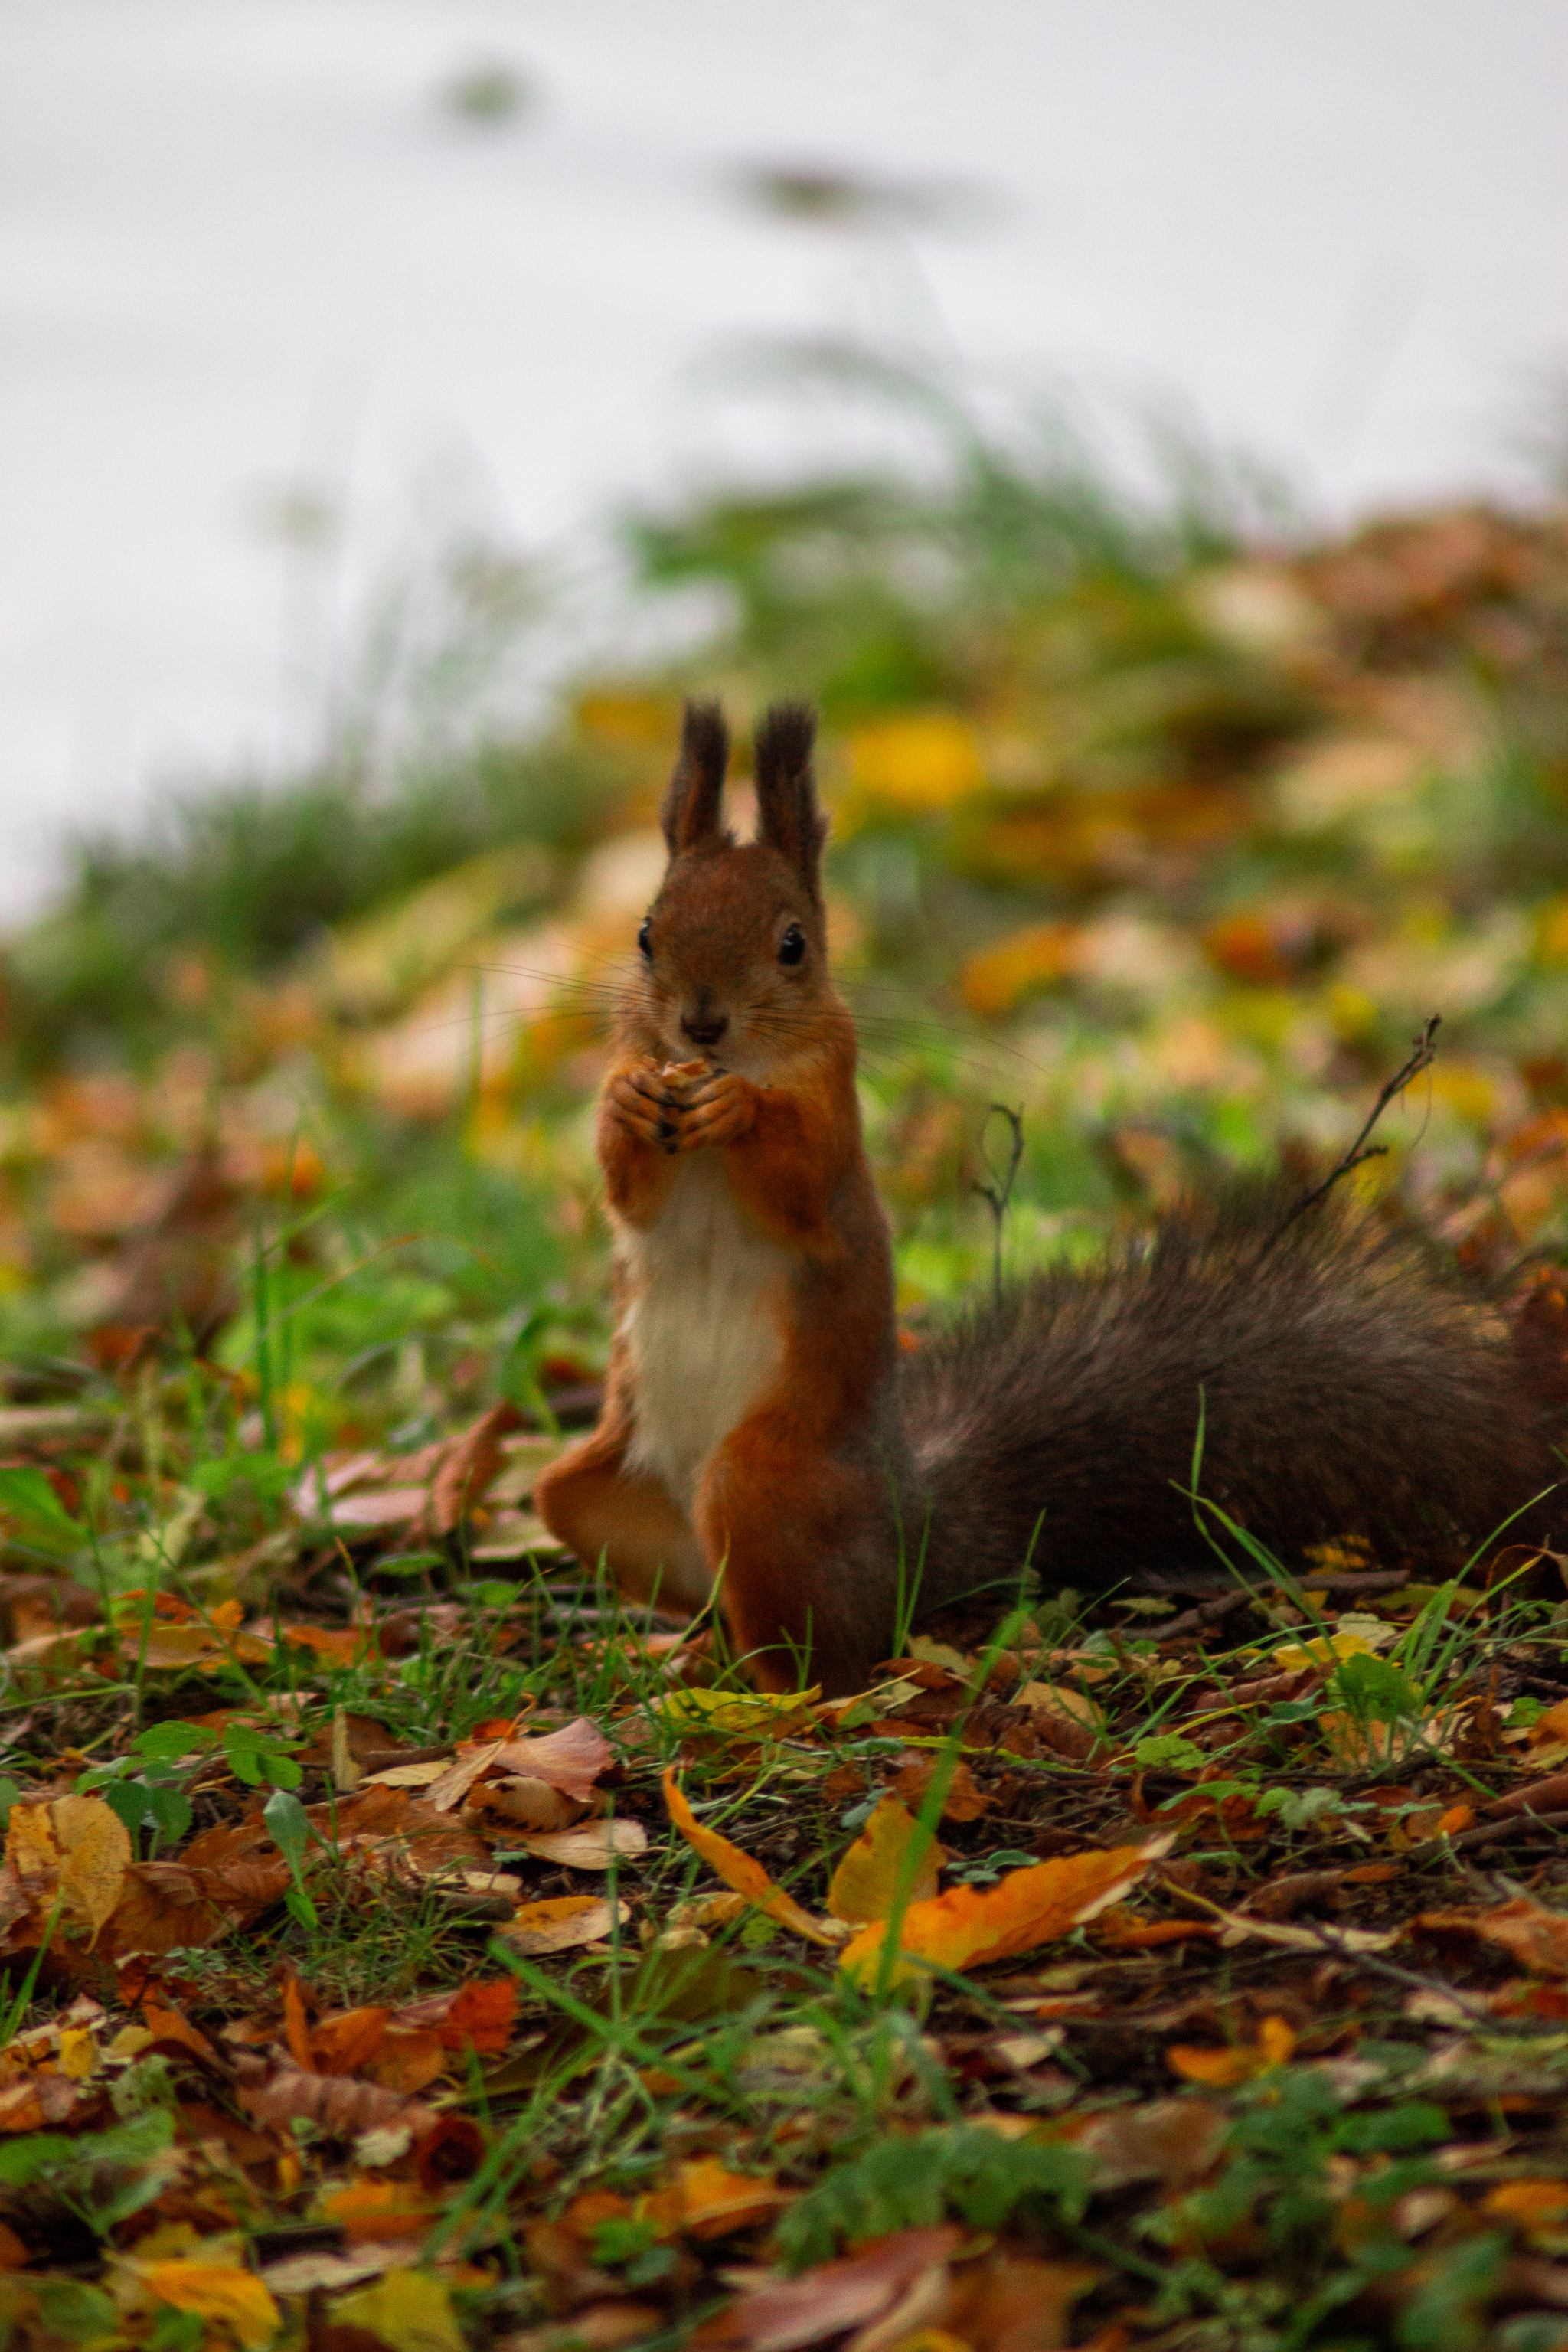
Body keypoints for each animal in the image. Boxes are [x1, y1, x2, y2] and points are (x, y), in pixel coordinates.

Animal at [536, 696, 1568, 1693]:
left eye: (791, 944)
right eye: (645, 934)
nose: (699, 1023)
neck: (735, 1061)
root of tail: (910, 1536)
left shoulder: (832, 1122)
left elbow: (794, 1182)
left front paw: (739, 1109)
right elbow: (629, 1191)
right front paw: (626, 1101)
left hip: (762, 1488)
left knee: (832, 1658)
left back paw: (765, 1692)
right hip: (585, 1496)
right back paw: (685, 1653)